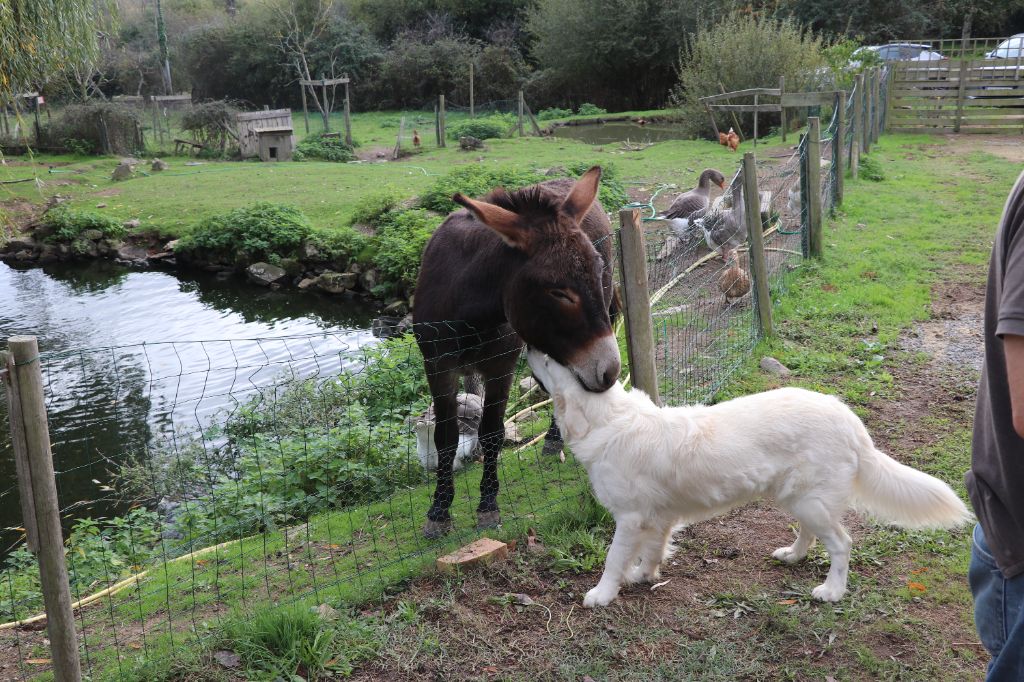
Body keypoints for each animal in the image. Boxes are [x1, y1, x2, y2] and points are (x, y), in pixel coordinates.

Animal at [532, 350, 970, 606]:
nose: (533, 348)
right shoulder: (657, 517)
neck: (609, 421)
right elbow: (653, 551)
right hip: (799, 499)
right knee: (812, 535)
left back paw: (832, 591)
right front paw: (643, 575)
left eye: (553, 364)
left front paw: (602, 594)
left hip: (811, 501)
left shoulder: (629, 518)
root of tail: (850, 421)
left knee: (842, 544)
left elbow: (612, 559)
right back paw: (793, 555)